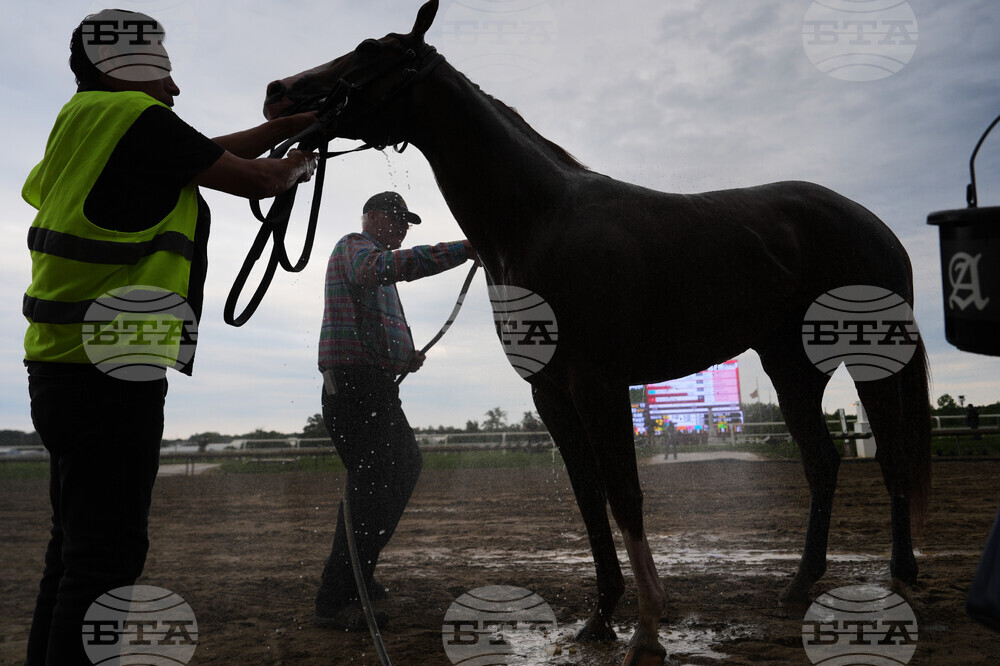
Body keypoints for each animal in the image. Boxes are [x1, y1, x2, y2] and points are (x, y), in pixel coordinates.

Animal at [263, 2, 931, 663]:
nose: (277, 92)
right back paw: (799, 585)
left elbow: (623, 493)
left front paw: (648, 629)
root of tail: (875, 226)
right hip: (792, 365)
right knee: (822, 462)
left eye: (369, 49)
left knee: (892, 458)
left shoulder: (598, 384)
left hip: (870, 359)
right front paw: (600, 619)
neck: (537, 222)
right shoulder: (552, 393)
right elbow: (587, 497)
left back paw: (900, 579)